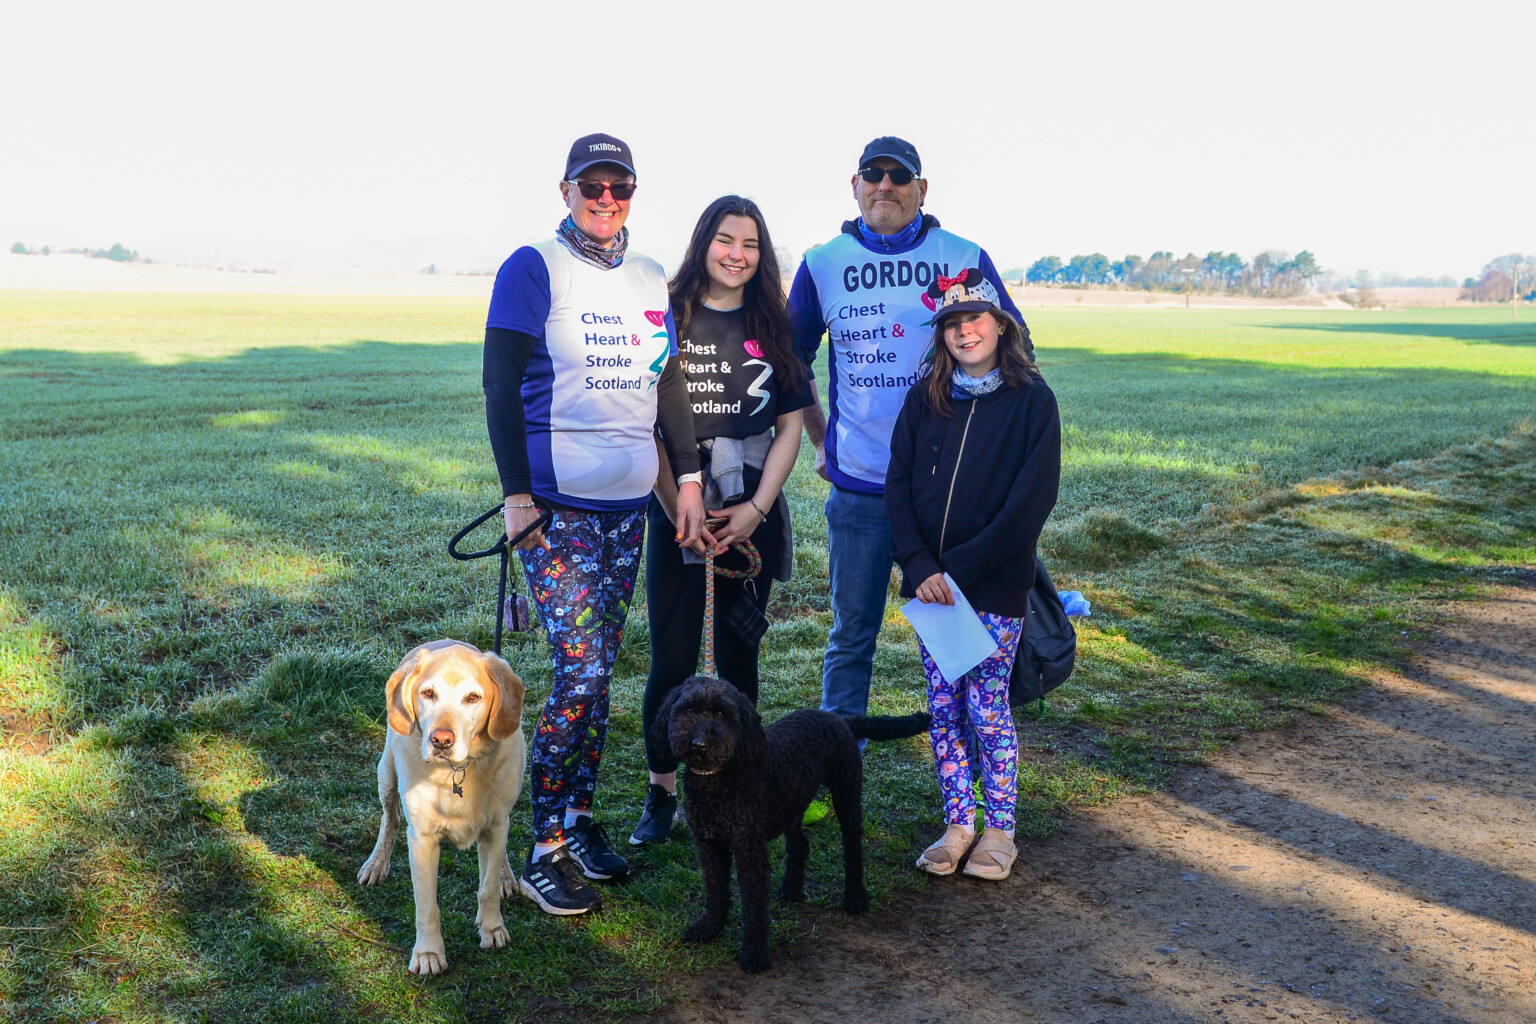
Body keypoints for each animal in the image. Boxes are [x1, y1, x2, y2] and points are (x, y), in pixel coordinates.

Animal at [356, 641, 525, 976]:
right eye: (428, 693)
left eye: (473, 697)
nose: (441, 740)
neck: (457, 770)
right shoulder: (422, 839)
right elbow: (426, 905)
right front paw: (429, 954)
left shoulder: (495, 826)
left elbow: (487, 888)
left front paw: (492, 929)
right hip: (386, 774)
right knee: (390, 819)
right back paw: (376, 864)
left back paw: (505, 876)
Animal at [651, 675, 927, 976]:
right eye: (688, 709)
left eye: (722, 713)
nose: (698, 743)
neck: (717, 782)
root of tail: (839, 719)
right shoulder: (708, 845)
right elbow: (715, 892)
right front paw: (708, 929)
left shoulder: (749, 851)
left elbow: (754, 906)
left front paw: (755, 953)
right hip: (792, 804)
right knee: (800, 844)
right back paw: (792, 887)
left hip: (847, 795)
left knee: (853, 848)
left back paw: (855, 897)